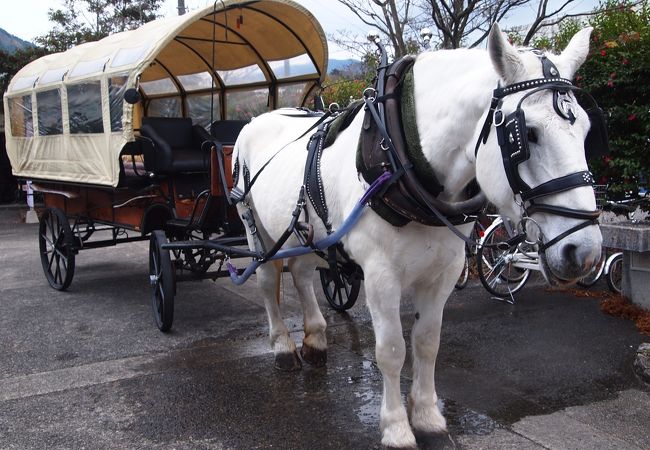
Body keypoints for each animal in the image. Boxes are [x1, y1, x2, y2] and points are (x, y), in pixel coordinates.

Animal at [230, 25, 600, 450]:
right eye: (527, 135)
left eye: (587, 130)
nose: (584, 252)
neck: (402, 153)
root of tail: (255, 120)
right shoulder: (380, 276)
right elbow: (392, 350)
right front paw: (396, 428)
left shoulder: (443, 271)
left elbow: (427, 342)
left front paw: (427, 418)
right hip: (255, 227)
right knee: (267, 278)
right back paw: (283, 347)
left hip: (303, 233)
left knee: (302, 273)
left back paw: (316, 339)